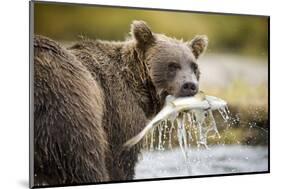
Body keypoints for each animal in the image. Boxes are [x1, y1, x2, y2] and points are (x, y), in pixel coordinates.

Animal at [32, 20, 208, 186]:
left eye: (194, 67)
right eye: (172, 65)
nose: (190, 85)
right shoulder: (119, 113)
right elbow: (120, 160)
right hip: (68, 105)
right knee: (82, 161)